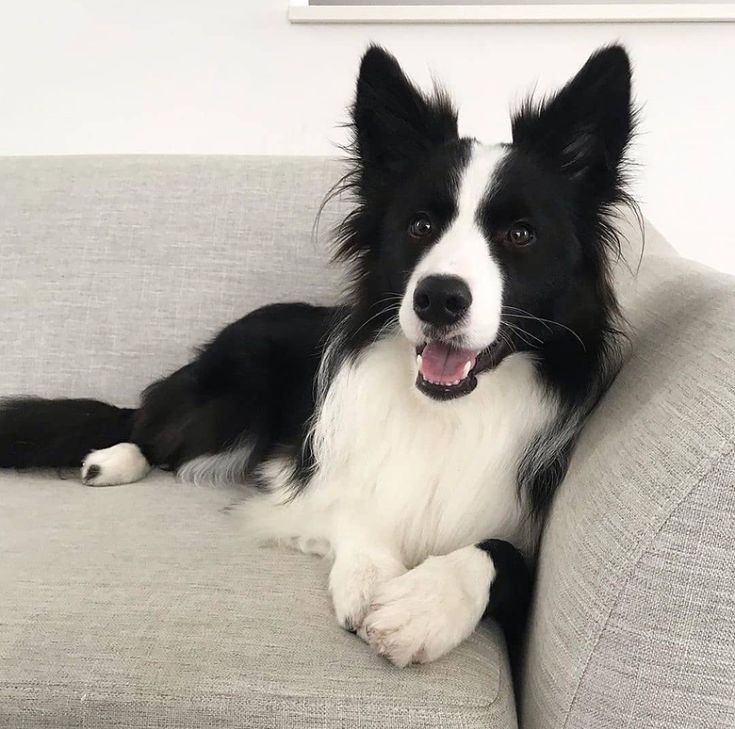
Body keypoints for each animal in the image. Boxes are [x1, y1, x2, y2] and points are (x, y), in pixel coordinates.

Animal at [0, 47, 636, 664]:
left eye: (521, 235)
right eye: (420, 225)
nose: (438, 298)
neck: (447, 412)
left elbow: (503, 556)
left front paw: (423, 607)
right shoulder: (304, 480)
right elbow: (358, 506)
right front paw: (369, 577)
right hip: (234, 398)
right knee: (147, 427)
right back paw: (112, 461)